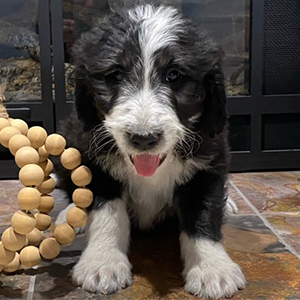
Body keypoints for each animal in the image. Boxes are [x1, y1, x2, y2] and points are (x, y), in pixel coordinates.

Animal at [56, 3, 246, 298]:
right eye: (115, 75)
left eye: (174, 75)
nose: (143, 138)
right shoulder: (94, 158)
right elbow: (107, 213)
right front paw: (102, 262)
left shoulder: (209, 162)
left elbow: (203, 215)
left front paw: (212, 269)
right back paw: (70, 216)